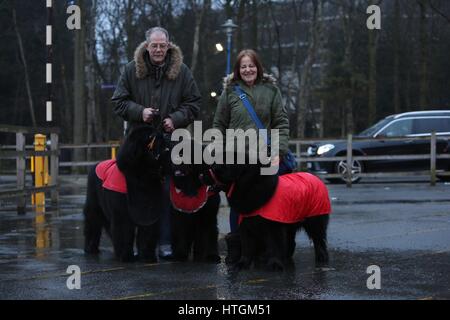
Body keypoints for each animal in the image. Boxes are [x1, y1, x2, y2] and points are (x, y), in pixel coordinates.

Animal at [83, 125, 168, 262]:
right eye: (150, 136)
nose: (165, 137)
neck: (141, 174)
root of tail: (95, 165)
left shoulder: (150, 209)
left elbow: (147, 232)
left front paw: (147, 256)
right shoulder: (121, 212)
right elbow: (124, 231)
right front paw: (126, 256)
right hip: (94, 206)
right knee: (93, 224)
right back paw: (90, 248)